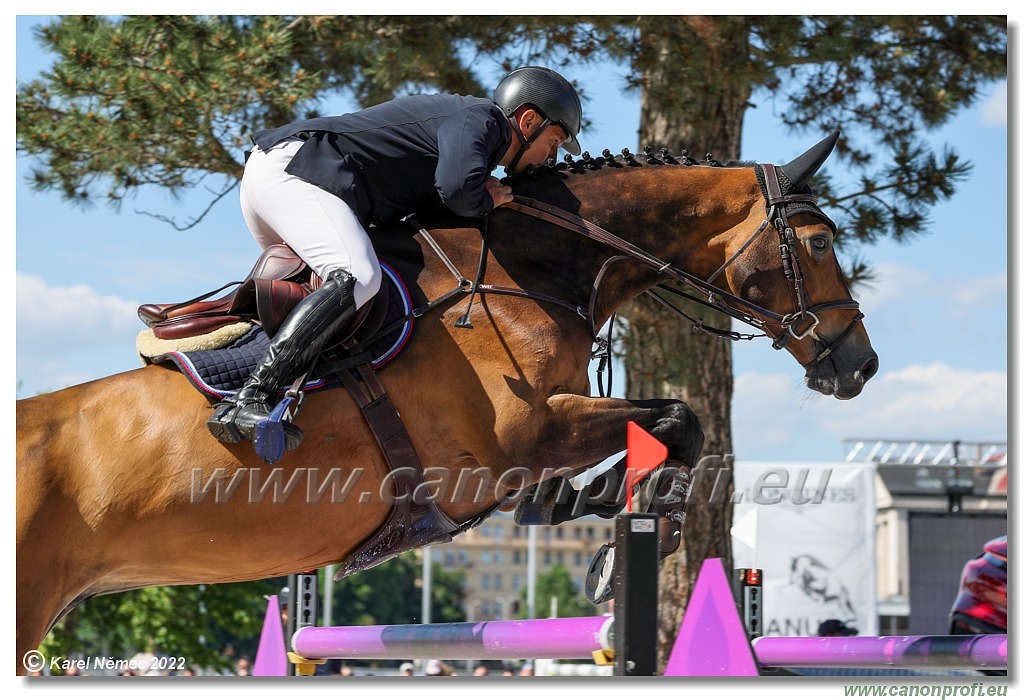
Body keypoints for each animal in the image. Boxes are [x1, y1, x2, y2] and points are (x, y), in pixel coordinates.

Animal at [14, 128, 880, 671]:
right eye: (820, 242)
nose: (860, 365)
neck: (533, 269)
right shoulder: (516, 441)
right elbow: (678, 419)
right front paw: (612, 529)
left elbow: (664, 428)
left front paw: (583, 508)